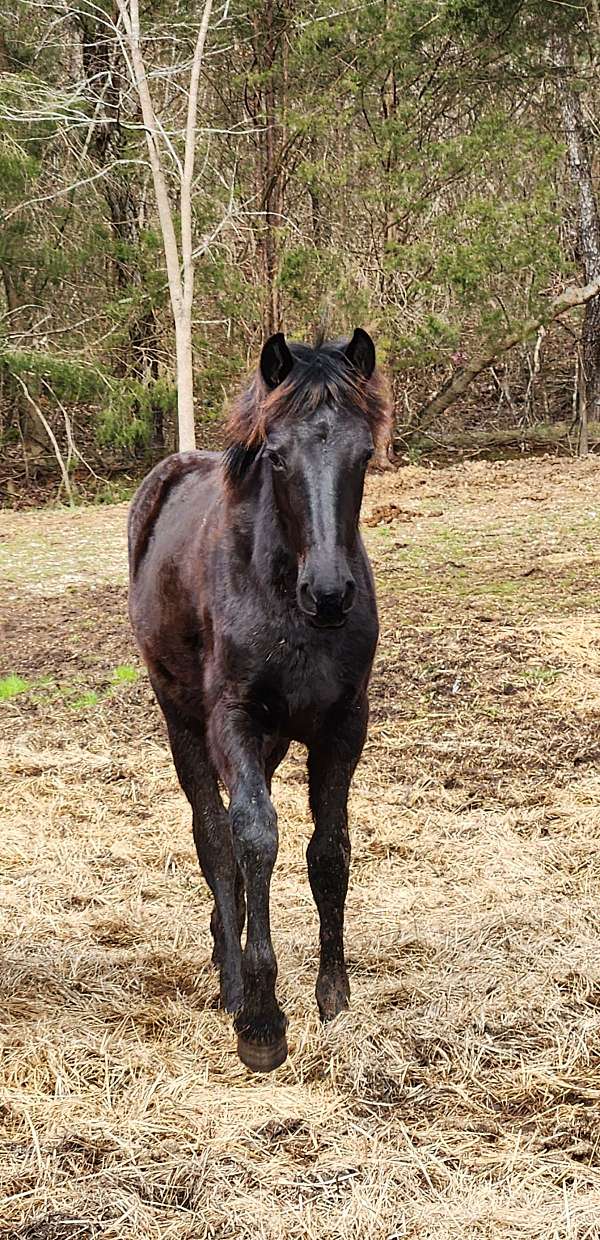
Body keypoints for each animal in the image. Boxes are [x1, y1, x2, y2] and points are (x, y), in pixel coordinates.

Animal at [128, 334, 391, 1071]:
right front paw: (262, 1019)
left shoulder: (342, 725)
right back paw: (230, 977)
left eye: (364, 454)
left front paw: (333, 995)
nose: (329, 593)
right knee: (214, 835)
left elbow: (327, 849)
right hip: (184, 720)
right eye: (276, 455)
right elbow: (251, 837)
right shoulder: (234, 721)